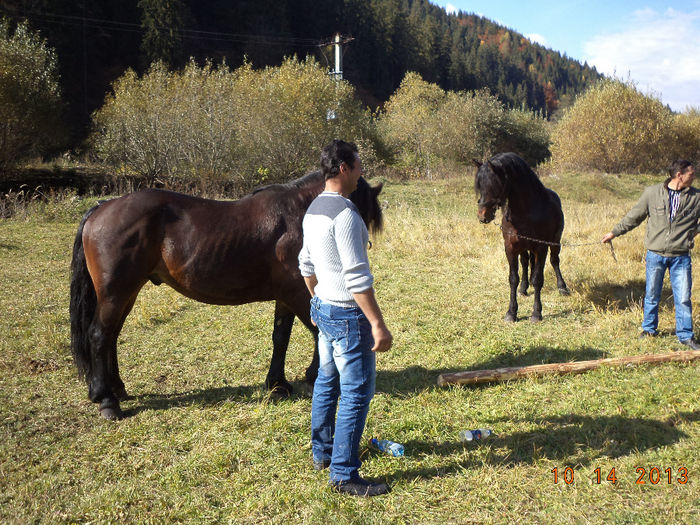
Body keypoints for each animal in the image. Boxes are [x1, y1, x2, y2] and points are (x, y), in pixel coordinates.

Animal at [69, 172, 382, 418]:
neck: (300, 216)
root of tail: (102, 208)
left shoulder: (285, 297)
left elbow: (281, 337)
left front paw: (278, 383)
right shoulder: (296, 293)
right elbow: (318, 331)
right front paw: (313, 374)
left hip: (126, 293)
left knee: (111, 336)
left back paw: (116, 389)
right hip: (115, 293)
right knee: (99, 335)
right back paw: (106, 400)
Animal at [476, 151, 568, 322]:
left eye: (494, 185)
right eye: (479, 186)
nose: (482, 216)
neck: (526, 213)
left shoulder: (541, 247)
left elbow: (538, 279)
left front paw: (536, 313)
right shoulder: (510, 247)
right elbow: (513, 278)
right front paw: (511, 312)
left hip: (554, 242)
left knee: (554, 261)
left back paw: (562, 287)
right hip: (524, 247)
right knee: (525, 263)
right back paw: (524, 288)